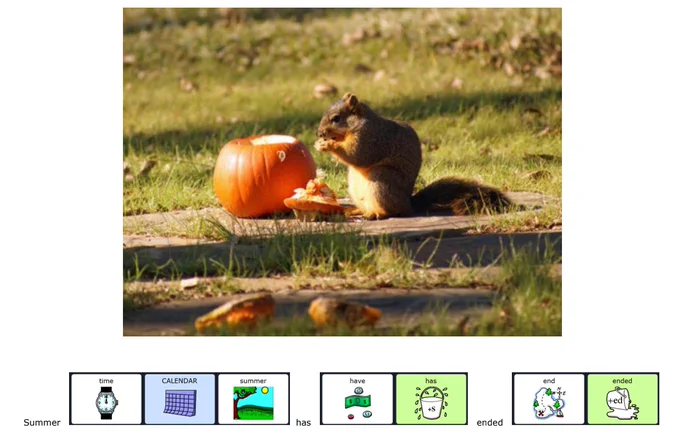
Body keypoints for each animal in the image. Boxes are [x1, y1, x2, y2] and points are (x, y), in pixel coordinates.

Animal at [314, 93, 511, 219]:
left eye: (336, 118)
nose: (319, 133)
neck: (358, 125)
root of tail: (409, 204)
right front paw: (320, 144)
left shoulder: (371, 138)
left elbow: (358, 156)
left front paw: (328, 145)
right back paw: (356, 211)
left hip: (382, 179)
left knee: (394, 212)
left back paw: (377, 214)